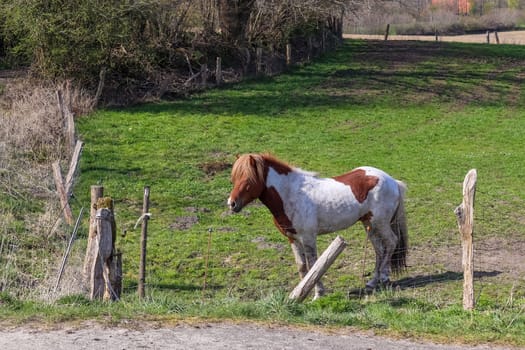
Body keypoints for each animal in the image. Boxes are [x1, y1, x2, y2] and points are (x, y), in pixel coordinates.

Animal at [226, 153, 406, 298]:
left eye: (248, 179)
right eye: (234, 179)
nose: (231, 204)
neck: (290, 194)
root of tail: (392, 181)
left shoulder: (308, 237)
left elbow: (313, 265)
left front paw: (318, 294)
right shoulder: (293, 239)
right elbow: (302, 266)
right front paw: (301, 293)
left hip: (380, 223)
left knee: (391, 242)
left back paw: (384, 277)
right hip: (369, 223)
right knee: (379, 249)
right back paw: (372, 282)